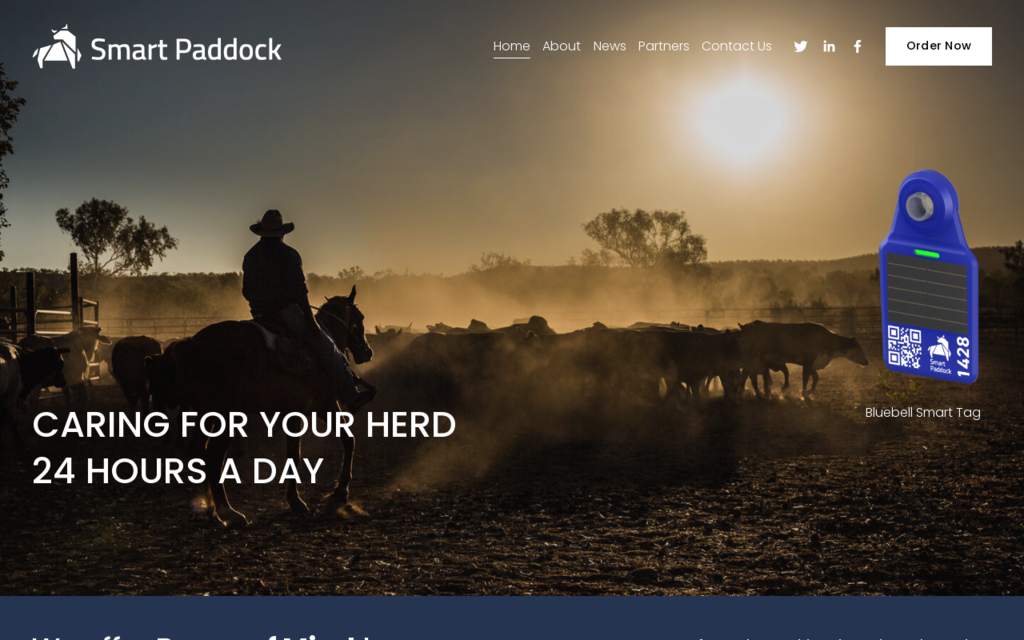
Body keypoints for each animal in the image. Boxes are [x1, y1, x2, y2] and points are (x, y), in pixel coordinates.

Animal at [145, 286, 374, 528]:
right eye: (360, 318)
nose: (367, 352)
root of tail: (191, 345)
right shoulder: (326, 403)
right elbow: (348, 440)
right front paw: (339, 494)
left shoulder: (294, 413)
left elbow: (294, 454)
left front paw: (295, 501)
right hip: (227, 416)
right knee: (214, 456)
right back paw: (229, 512)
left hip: (205, 413)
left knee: (198, 450)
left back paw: (211, 509)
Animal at [737, 321, 869, 397]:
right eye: (858, 347)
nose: (866, 362)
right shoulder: (808, 362)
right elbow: (806, 378)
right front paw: (804, 393)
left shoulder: (812, 364)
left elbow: (816, 377)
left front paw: (810, 391)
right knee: (747, 374)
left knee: (745, 374)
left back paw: (743, 391)